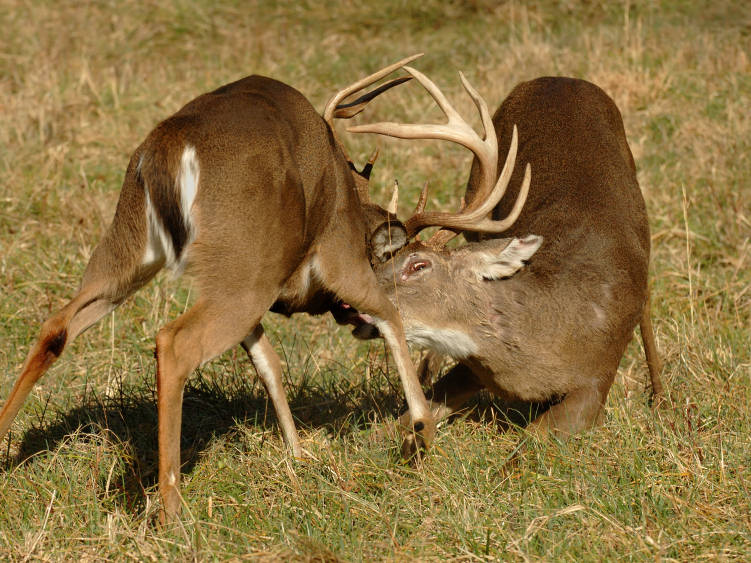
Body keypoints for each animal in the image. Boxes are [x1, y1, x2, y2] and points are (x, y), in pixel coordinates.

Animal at [0, 55, 494, 521]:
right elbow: (388, 314)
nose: (351, 321)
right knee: (173, 343)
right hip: (242, 263)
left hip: (135, 244)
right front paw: (421, 432)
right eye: (385, 260)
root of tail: (170, 147)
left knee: (57, 323)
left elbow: (268, 362)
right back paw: (172, 513)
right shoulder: (335, 252)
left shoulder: (261, 285)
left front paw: (300, 455)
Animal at [345, 67, 664, 440]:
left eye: (418, 265)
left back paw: (661, 398)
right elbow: (398, 423)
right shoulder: (471, 368)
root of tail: (560, 78)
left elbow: (532, 439)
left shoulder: (598, 376)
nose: (351, 305)